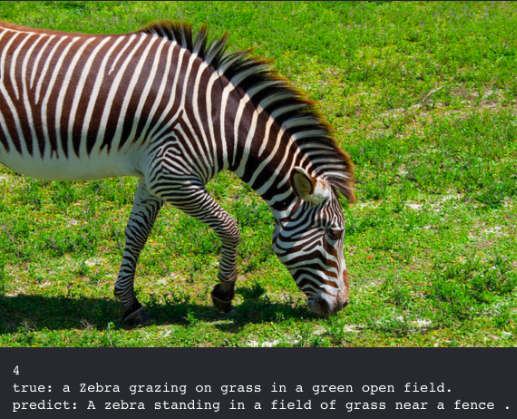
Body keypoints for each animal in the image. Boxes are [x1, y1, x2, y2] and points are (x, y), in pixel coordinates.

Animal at [0, 19, 354, 324]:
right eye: (335, 234)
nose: (341, 306)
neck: (219, 123)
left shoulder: (153, 177)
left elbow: (137, 234)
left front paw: (129, 304)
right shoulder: (172, 175)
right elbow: (229, 226)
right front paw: (223, 293)